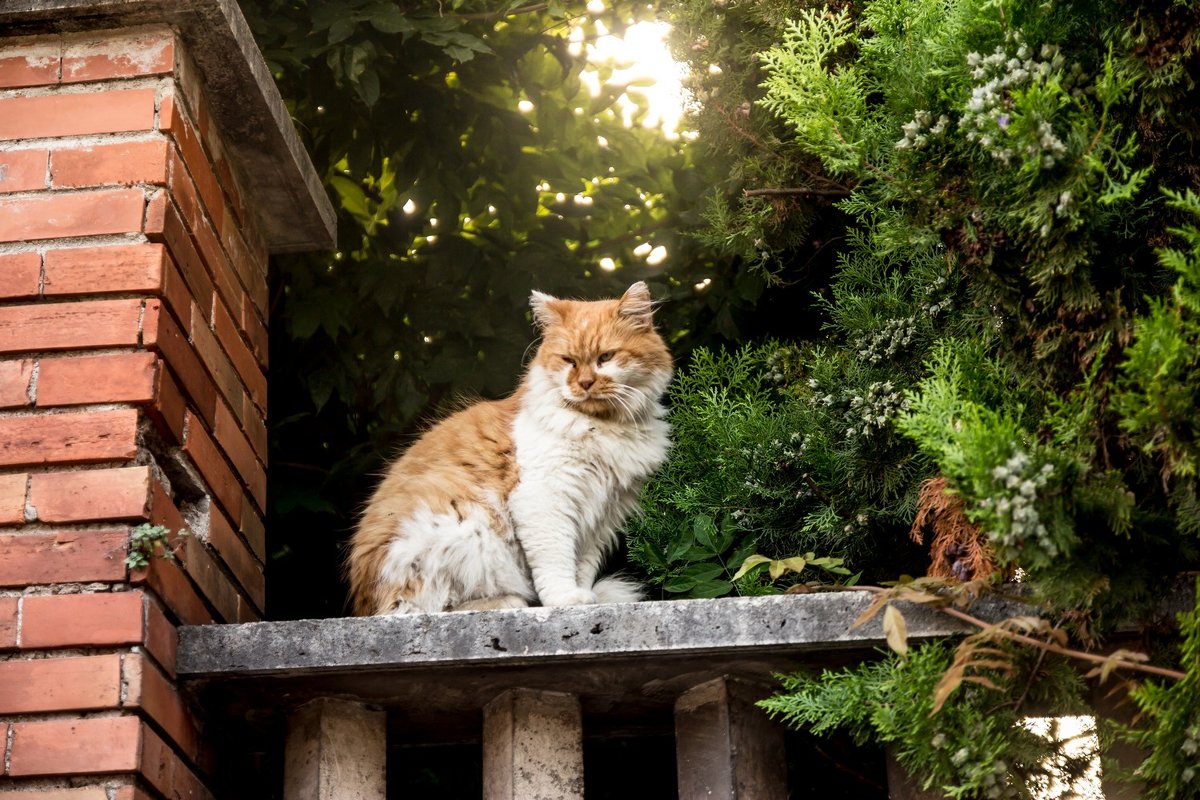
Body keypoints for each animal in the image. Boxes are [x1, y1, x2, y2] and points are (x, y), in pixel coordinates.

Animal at [345, 284, 676, 618]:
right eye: (568, 360)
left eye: (605, 357)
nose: (584, 383)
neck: (602, 425)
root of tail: (365, 605)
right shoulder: (544, 498)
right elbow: (556, 561)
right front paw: (566, 600)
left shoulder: (601, 516)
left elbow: (581, 567)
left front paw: (586, 597)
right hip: (461, 533)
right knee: (425, 606)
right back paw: (509, 602)